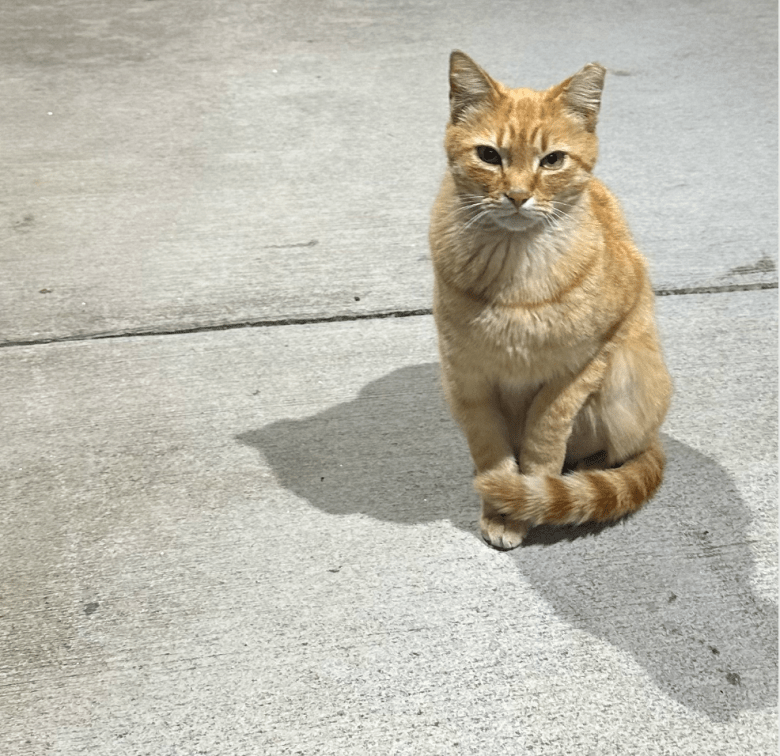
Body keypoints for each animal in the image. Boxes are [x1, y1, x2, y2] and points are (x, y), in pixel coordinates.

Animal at [429, 51, 673, 550]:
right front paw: (500, 504)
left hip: (625, 383)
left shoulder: (583, 364)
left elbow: (543, 444)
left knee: (615, 455)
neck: (516, 275)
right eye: (488, 155)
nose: (518, 196)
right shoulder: (467, 377)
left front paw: (527, 502)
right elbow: (490, 453)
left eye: (553, 160)